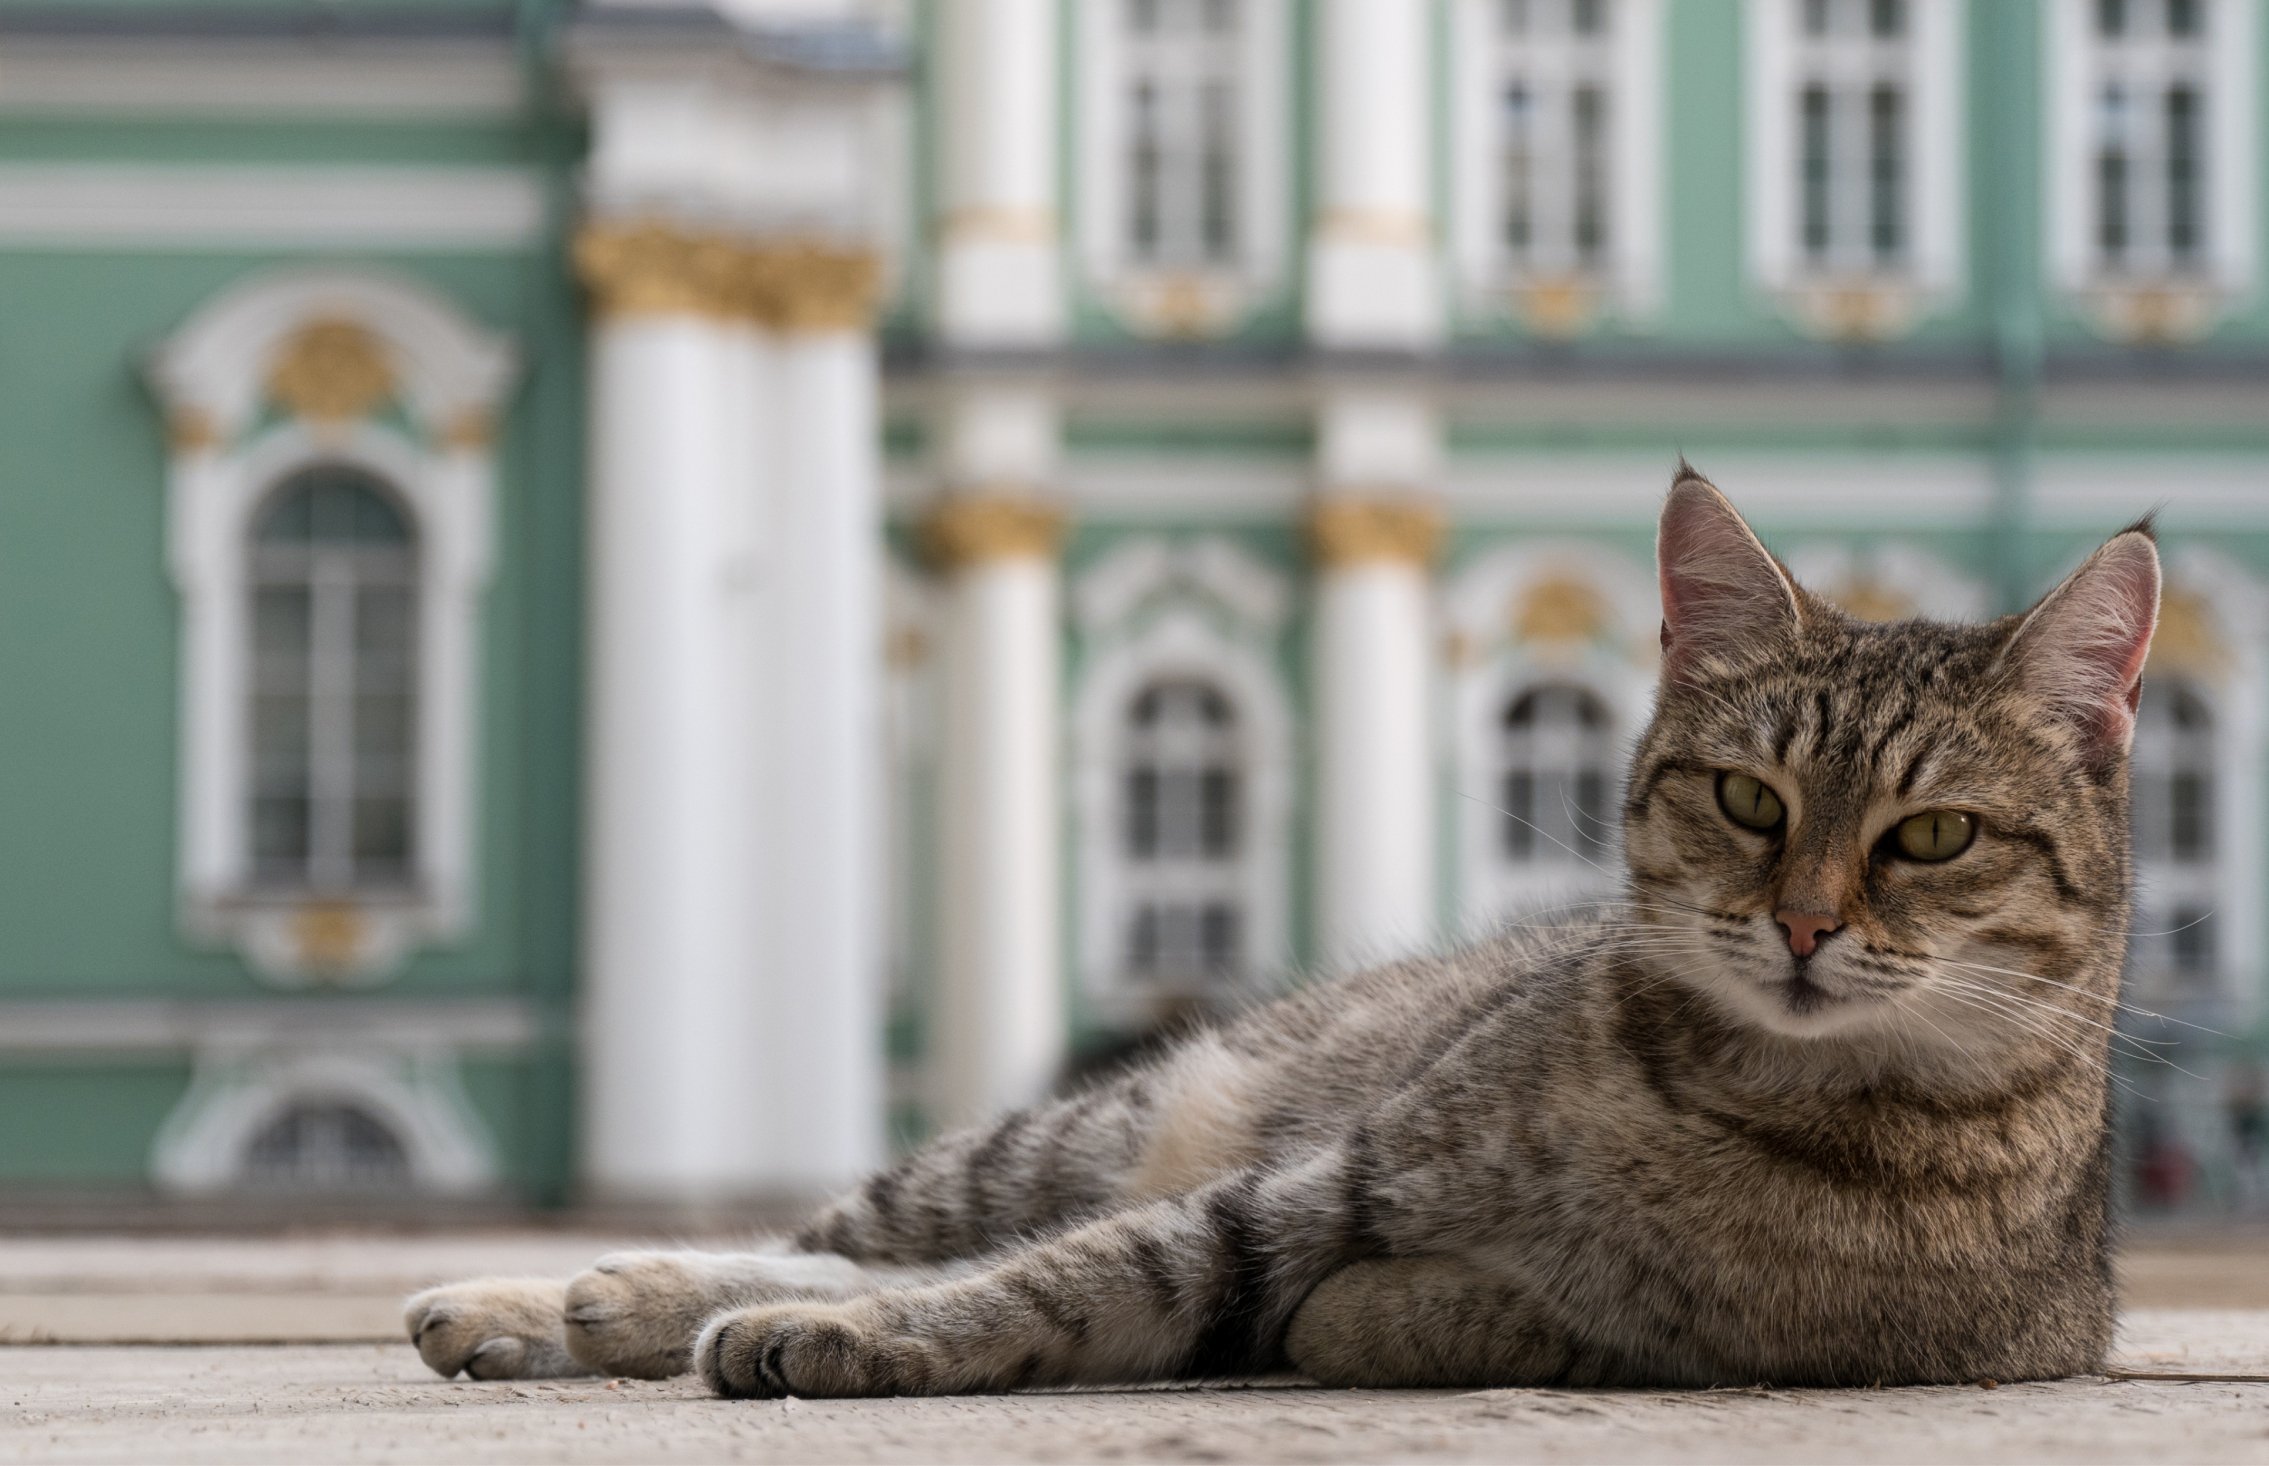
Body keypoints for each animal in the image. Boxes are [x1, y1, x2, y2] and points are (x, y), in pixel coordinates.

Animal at [408, 474, 2160, 1397]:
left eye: (1930, 834)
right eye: (1746, 797)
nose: (1798, 921)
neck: (1733, 1099)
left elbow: (1071, 1290)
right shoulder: (1318, 1182)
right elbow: (1053, 1278)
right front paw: (828, 1330)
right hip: (1085, 1127)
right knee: (874, 1229)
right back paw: (557, 1298)